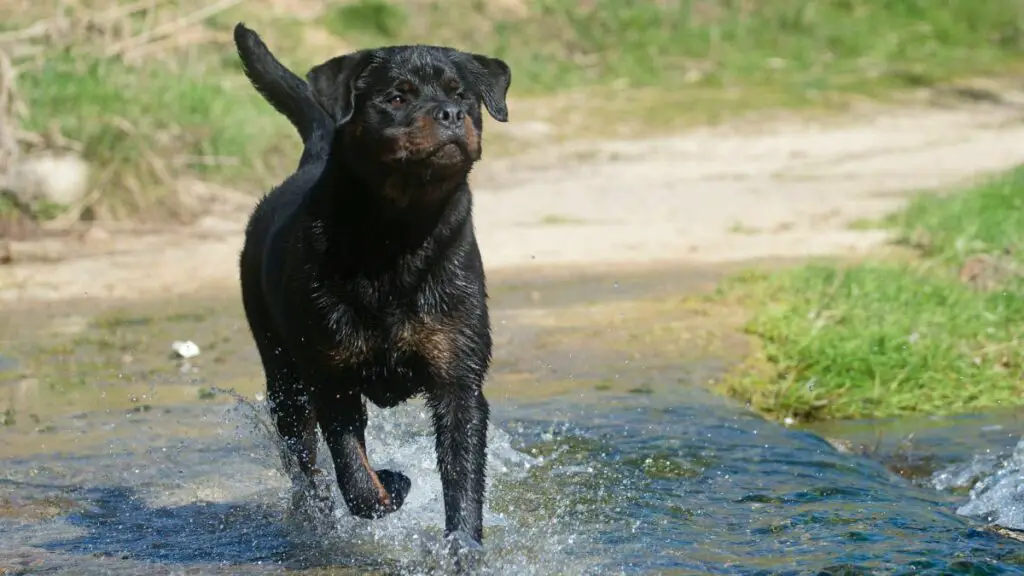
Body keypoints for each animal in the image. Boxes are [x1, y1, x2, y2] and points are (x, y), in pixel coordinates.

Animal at [233, 22, 512, 545]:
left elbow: (463, 480)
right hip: (283, 375)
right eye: (396, 98)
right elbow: (355, 476)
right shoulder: (332, 376)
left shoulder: (458, 376)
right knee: (306, 463)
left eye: (460, 94)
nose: (450, 114)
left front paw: (463, 546)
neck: (396, 235)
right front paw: (392, 484)